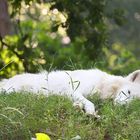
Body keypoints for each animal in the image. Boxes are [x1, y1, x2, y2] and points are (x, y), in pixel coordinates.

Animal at [0, 69, 140, 117]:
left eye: (133, 102)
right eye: (127, 92)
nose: (122, 106)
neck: (103, 85)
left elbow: (82, 103)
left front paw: (78, 108)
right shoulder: (74, 90)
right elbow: (90, 103)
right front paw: (91, 113)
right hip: (11, 90)